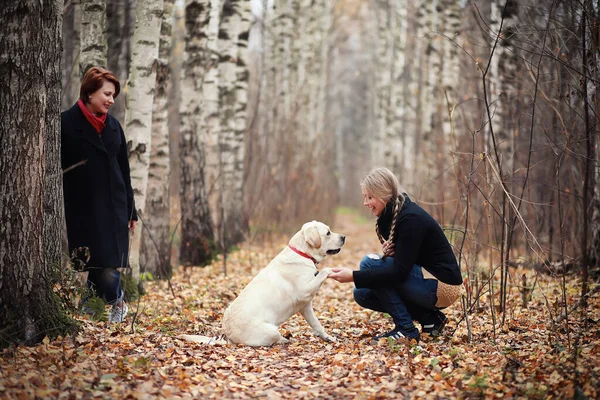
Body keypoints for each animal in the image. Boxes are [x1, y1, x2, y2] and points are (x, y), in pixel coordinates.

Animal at [180, 220, 344, 346]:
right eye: (328, 233)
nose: (343, 236)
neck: (303, 254)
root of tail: (228, 336)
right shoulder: (304, 291)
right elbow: (323, 272)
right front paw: (330, 270)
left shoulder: (305, 306)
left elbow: (317, 324)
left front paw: (328, 338)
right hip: (271, 330)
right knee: (273, 340)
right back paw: (284, 340)